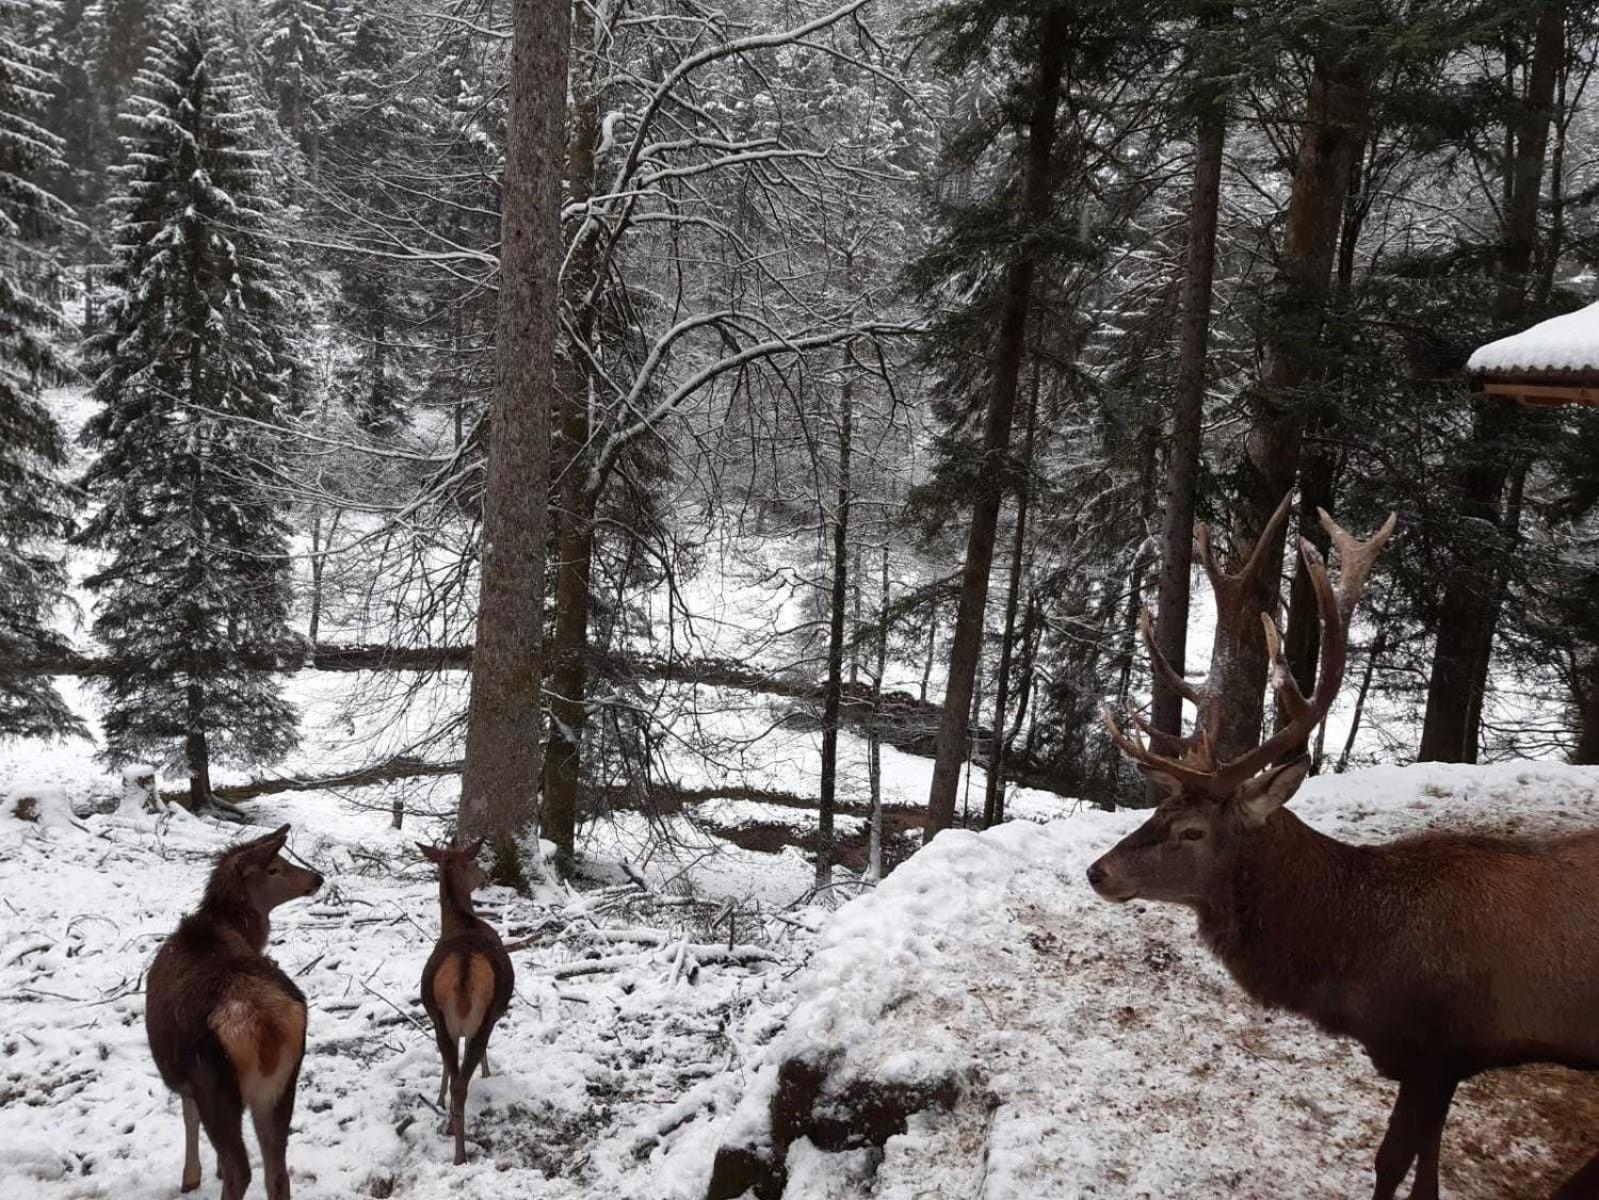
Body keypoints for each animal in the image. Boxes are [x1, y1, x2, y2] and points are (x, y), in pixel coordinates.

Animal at [145, 825, 326, 1200]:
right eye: (275, 867)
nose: (317, 877)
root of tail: (266, 1025)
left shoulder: (186, 1078)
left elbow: (188, 1115)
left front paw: (192, 1176)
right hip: (280, 1085)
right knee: (277, 1172)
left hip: (215, 1083)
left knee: (240, 1171)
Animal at [418, 844, 511, 1164]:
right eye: (474, 862)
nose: (486, 875)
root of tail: (464, 969)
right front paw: (487, 1073)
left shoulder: (444, 1023)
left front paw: (437, 1099)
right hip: (483, 1017)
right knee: (462, 1081)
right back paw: (461, 1155)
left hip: (440, 1017)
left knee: (455, 1073)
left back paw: (451, 1131)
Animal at [1087, 505, 1599, 1200]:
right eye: (1158, 810)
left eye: (1191, 831)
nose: (1098, 872)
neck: (1361, 965)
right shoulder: (1445, 1065)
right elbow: (1427, 1171)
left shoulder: (1436, 1050)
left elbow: (1391, 1164)